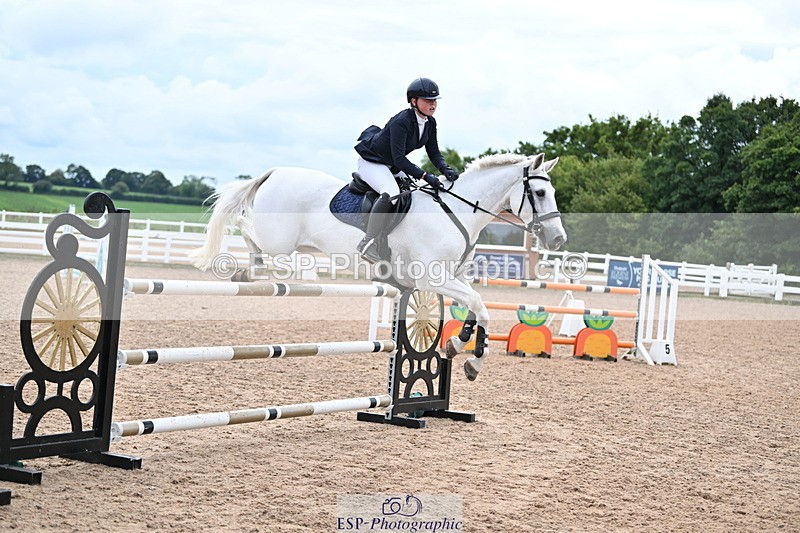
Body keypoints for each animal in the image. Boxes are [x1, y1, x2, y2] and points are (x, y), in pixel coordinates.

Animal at [189, 152, 567, 381]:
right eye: (539, 193)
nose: (558, 240)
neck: (457, 211)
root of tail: (275, 173)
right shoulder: (431, 278)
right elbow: (480, 306)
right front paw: (472, 361)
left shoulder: (453, 277)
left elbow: (474, 307)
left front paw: (455, 346)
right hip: (276, 239)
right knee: (246, 228)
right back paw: (251, 269)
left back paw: (249, 271)